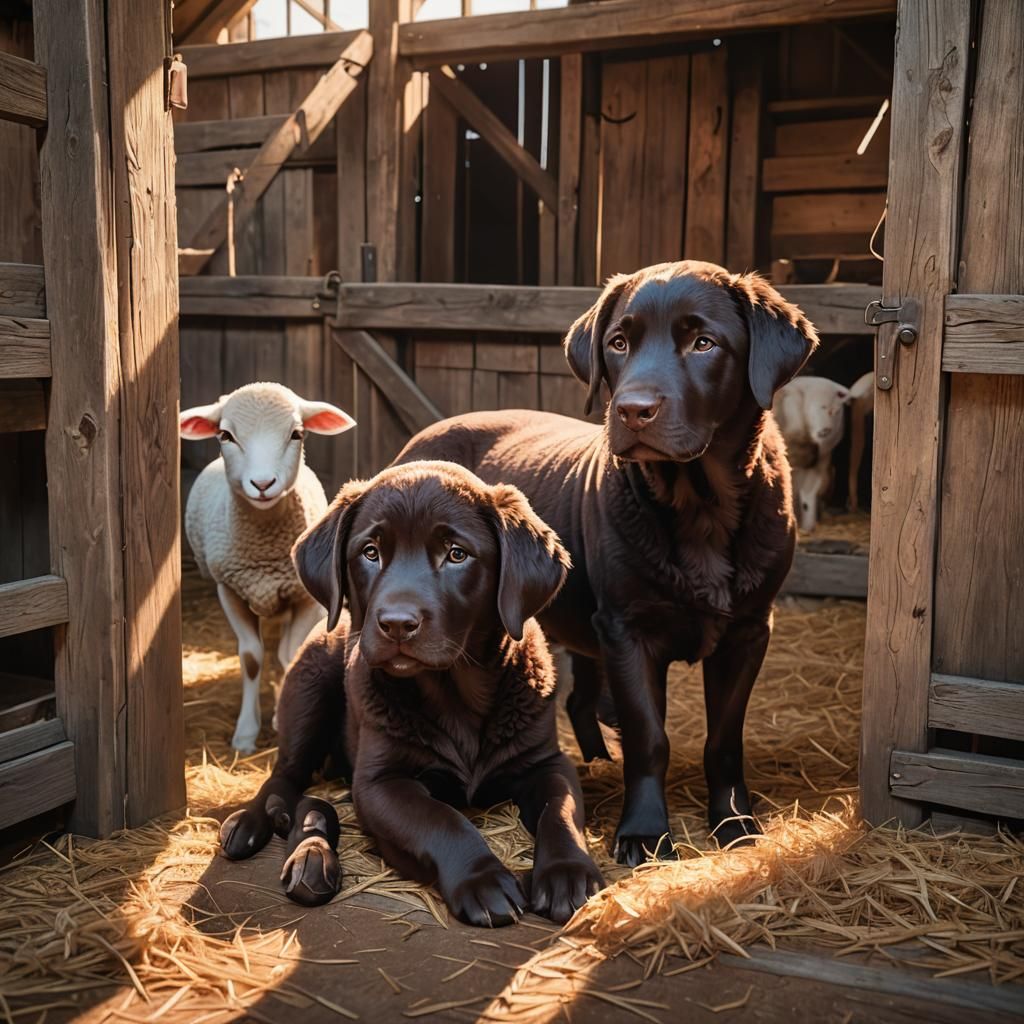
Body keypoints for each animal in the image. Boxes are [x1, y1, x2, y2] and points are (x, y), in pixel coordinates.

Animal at [180, 382, 355, 752]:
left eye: (297, 434)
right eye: (225, 435)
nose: (262, 484)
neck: (265, 546)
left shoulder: (305, 598)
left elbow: (291, 656)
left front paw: (285, 716)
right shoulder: (229, 591)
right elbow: (251, 659)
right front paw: (246, 735)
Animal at [773, 375, 850, 532]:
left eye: (836, 410)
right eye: (820, 407)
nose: (825, 430)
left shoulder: (821, 461)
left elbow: (809, 492)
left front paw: (808, 526)